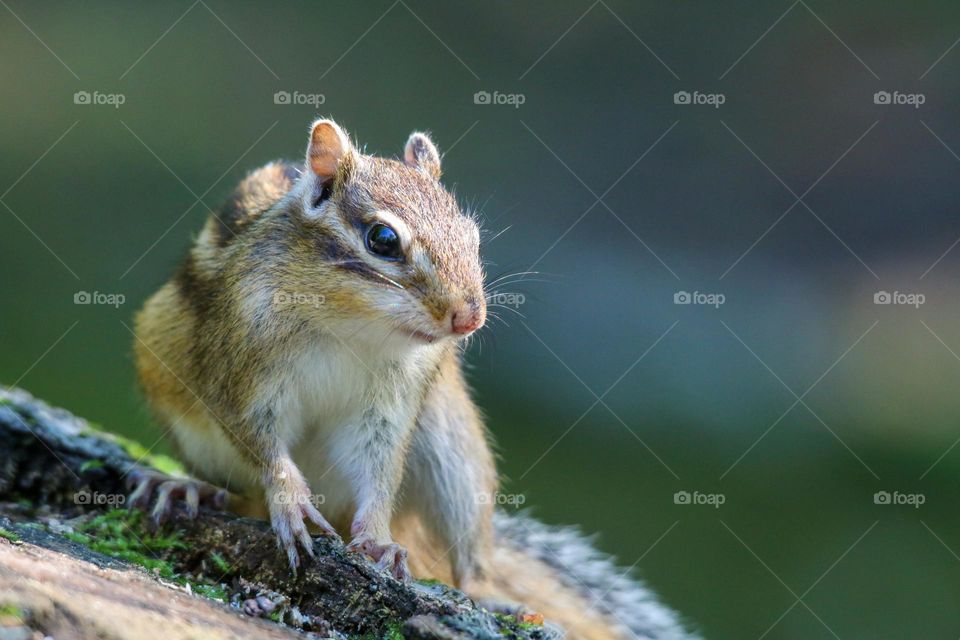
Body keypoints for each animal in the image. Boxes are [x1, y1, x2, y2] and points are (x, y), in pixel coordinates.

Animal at [131, 118, 694, 640]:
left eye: (471, 235)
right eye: (382, 239)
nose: (469, 317)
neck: (347, 323)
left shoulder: (392, 402)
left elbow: (379, 466)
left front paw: (378, 540)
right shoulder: (238, 372)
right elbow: (263, 447)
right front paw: (290, 502)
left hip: (457, 454)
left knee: (468, 555)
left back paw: (488, 594)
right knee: (238, 493)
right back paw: (189, 489)